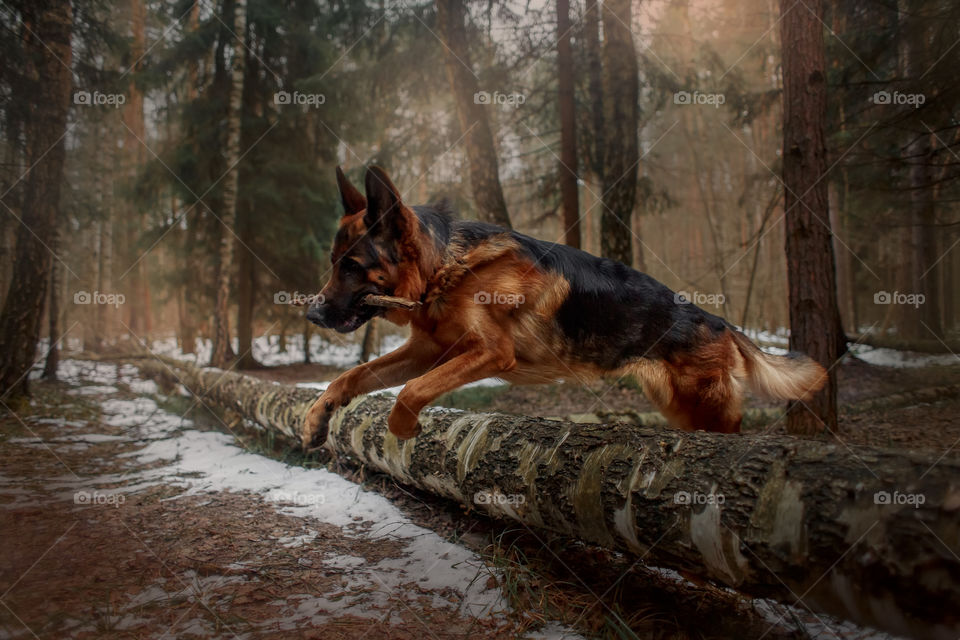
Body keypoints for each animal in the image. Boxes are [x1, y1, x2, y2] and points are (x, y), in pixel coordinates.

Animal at [300, 165, 824, 450]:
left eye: (352, 266)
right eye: (333, 263)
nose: (311, 316)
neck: (444, 266)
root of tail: (719, 321)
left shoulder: (488, 352)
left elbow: (411, 391)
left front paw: (403, 427)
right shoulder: (429, 350)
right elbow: (353, 376)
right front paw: (318, 414)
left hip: (707, 407)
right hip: (679, 407)